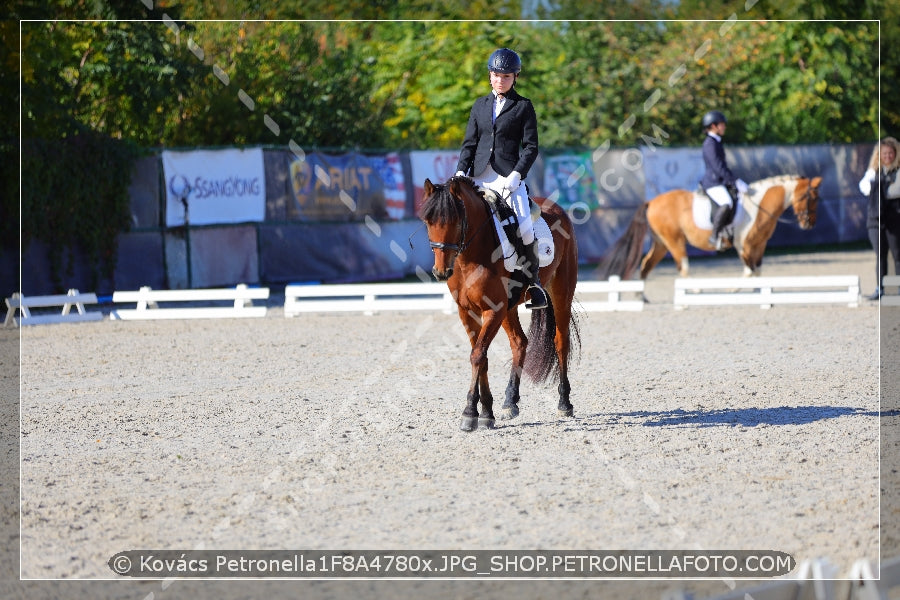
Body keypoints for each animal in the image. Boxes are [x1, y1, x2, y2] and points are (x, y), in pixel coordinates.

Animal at [420, 176, 580, 434]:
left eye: (456, 220)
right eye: (428, 221)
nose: (441, 272)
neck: (470, 257)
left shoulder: (492, 309)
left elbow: (478, 355)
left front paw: (469, 413)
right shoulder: (467, 312)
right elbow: (481, 356)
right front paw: (486, 412)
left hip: (561, 291)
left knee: (561, 342)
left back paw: (564, 403)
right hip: (510, 308)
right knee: (519, 343)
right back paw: (509, 402)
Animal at [596, 173, 824, 282]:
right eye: (811, 198)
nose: (809, 224)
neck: (759, 205)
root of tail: (651, 202)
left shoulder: (760, 245)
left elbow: (757, 272)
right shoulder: (744, 246)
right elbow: (749, 271)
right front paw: (734, 292)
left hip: (661, 243)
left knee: (646, 264)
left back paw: (641, 298)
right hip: (674, 241)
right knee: (683, 267)